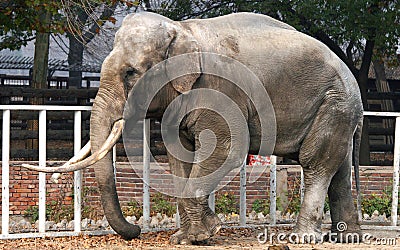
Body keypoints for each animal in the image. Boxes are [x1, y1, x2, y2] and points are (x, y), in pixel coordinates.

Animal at [23, 11, 364, 244]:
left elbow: (226, 150)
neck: (182, 30)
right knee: (338, 170)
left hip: (335, 103)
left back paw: (302, 238)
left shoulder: (221, 91)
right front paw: (186, 237)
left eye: (130, 73)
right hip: (337, 111)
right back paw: (347, 237)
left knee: (316, 163)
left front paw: (204, 233)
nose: (135, 231)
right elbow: (179, 156)